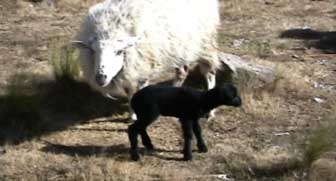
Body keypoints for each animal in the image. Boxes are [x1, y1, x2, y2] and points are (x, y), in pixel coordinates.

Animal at [76, 0, 222, 117]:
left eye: (119, 52)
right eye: (93, 51)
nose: (101, 77)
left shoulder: (143, 70)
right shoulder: (130, 72)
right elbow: (129, 92)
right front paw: (132, 114)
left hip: (205, 43)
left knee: (209, 73)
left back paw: (210, 112)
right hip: (180, 48)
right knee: (182, 73)